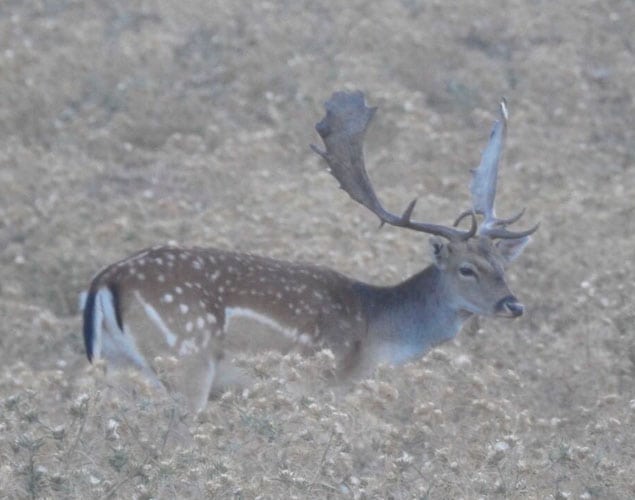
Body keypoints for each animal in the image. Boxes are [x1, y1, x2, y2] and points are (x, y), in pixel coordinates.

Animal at [80, 90, 536, 410]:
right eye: (466, 268)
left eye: (502, 264)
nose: (513, 305)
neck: (372, 336)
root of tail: (106, 280)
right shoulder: (314, 383)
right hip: (186, 358)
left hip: (115, 366)